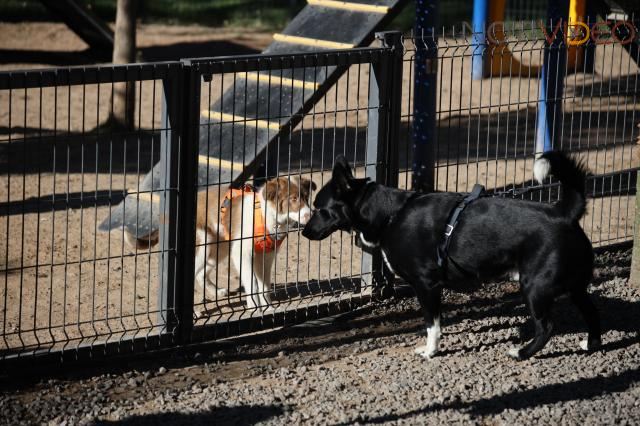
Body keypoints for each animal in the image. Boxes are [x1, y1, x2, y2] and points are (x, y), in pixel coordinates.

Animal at [302, 152, 600, 360]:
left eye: (319, 209)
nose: (304, 232)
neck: (390, 214)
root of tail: (563, 213)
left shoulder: (427, 285)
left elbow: (432, 324)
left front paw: (430, 351)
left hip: (535, 288)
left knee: (547, 326)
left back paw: (521, 353)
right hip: (575, 285)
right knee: (592, 311)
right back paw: (591, 344)